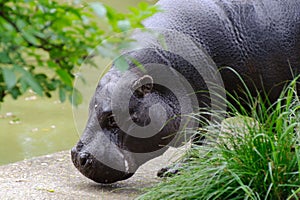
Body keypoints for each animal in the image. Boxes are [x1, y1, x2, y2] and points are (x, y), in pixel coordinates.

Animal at [71, 0, 300, 184]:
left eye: (112, 118)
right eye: (90, 108)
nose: (76, 156)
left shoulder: (211, 108)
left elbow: (201, 142)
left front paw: (173, 171)